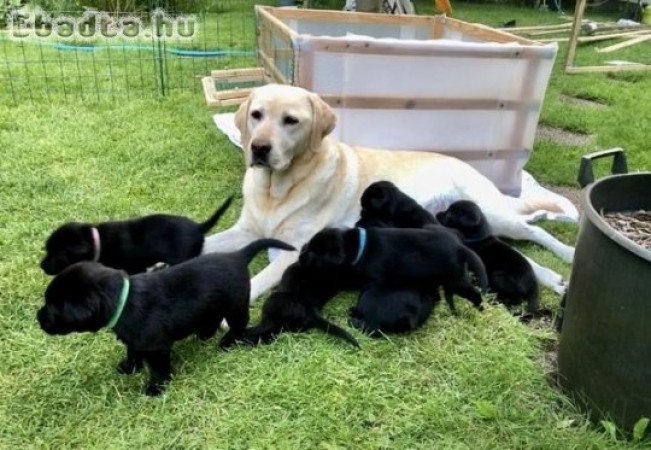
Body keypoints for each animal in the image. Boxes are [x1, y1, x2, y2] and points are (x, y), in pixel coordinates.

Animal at [37, 237, 296, 396]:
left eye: (54, 307)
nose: (38, 317)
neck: (124, 300)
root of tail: (238, 256)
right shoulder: (135, 340)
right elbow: (132, 352)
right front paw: (129, 368)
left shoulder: (157, 348)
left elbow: (159, 369)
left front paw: (156, 389)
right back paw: (204, 335)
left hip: (235, 306)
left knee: (239, 324)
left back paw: (227, 342)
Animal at [298, 227, 486, 314]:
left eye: (314, 252)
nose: (300, 257)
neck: (360, 247)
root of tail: (460, 247)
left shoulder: (373, 281)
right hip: (448, 280)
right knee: (448, 296)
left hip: (456, 281)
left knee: (475, 294)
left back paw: (479, 309)